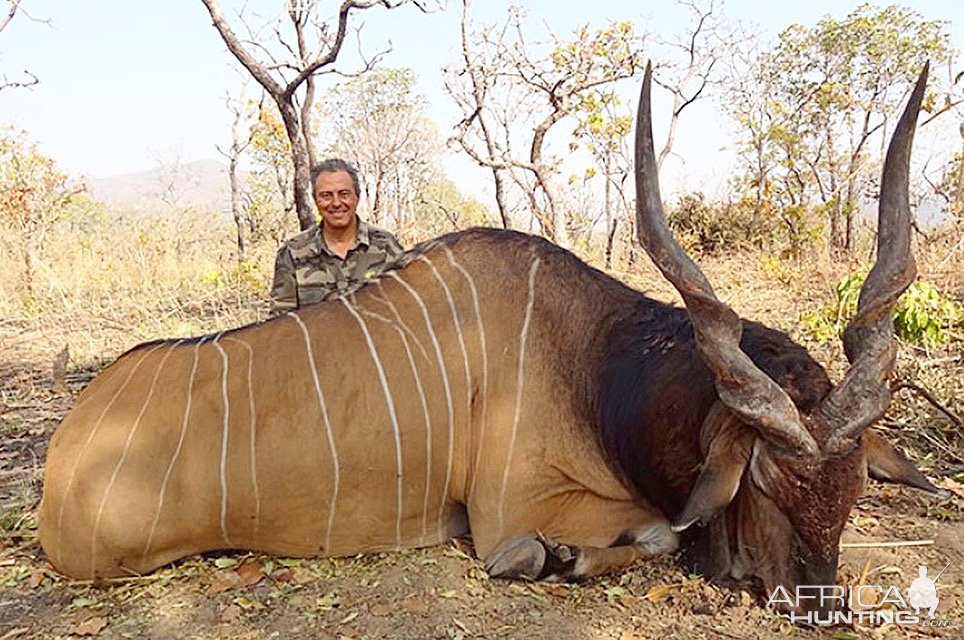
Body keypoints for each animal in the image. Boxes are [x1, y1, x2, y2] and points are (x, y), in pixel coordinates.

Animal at [37, 63, 932, 608]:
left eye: (855, 489)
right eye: (767, 484)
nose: (816, 603)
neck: (594, 361)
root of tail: (67, 443)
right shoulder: (517, 509)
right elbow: (644, 535)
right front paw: (553, 560)